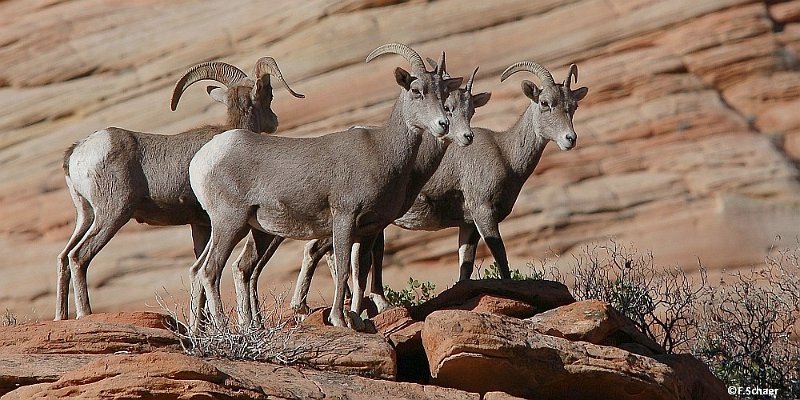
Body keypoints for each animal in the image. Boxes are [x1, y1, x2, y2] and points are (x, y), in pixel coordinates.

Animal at [54, 56, 304, 320]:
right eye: (270, 95)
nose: (275, 122)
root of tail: (77, 150)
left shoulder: (201, 226)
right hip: (112, 214)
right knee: (78, 256)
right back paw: (84, 314)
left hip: (86, 216)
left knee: (63, 257)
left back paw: (61, 316)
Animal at [188, 44, 466, 332]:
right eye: (416, 91)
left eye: (443, 95)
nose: (443, 124)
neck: (382, 151)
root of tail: (202, 160)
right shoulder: (344, 218)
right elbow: (343, 269)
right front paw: (339, 320)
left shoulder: (370, 230)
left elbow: (360, 273)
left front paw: (358, 321)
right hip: (230, 223)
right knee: (210, 271)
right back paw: (224, 328)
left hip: (254, 230)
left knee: (222, 269)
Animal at [290, 61, 584, 312]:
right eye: (545, 103)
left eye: (573, 106)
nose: (570, 139)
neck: (506, 154)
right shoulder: (483, 213)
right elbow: (501, 257)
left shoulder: (468, 225)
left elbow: (465, 268)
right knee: (321, 250)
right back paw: (309, 307)